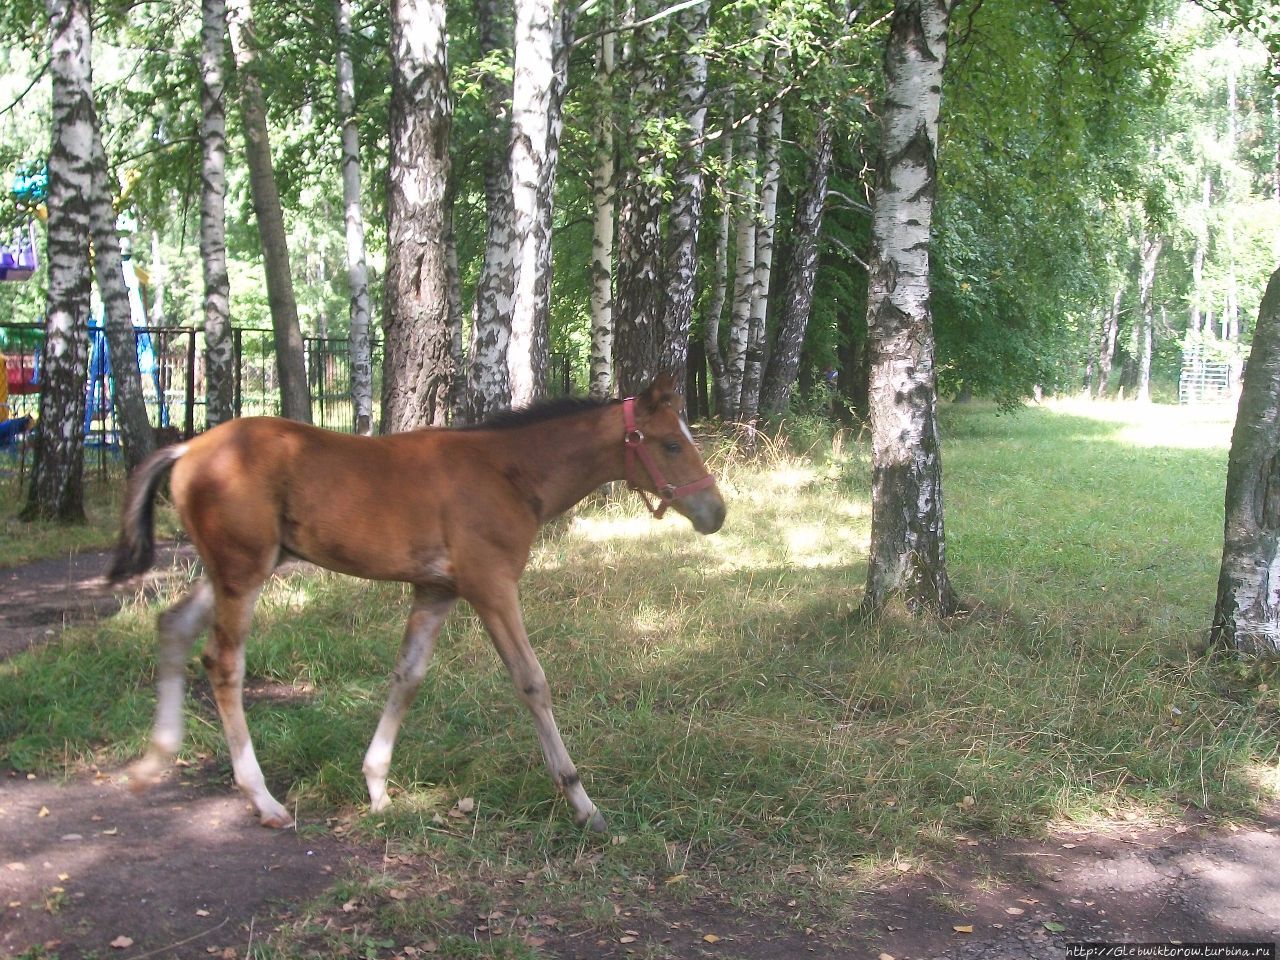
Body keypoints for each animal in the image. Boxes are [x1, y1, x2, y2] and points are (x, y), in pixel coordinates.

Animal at [107, 376, 732, 834]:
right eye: (670, 443)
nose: (716, 512)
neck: (507, 472)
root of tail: (188, 446)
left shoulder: (437, 591)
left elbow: (407, 676)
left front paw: (378, 788)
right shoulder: (491, 585)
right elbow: (532, 681)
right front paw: (583, 804)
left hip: (232, 569)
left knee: (173, 626)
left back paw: (156, 757)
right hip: (243, 572)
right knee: (224, 664)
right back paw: (262, 800)